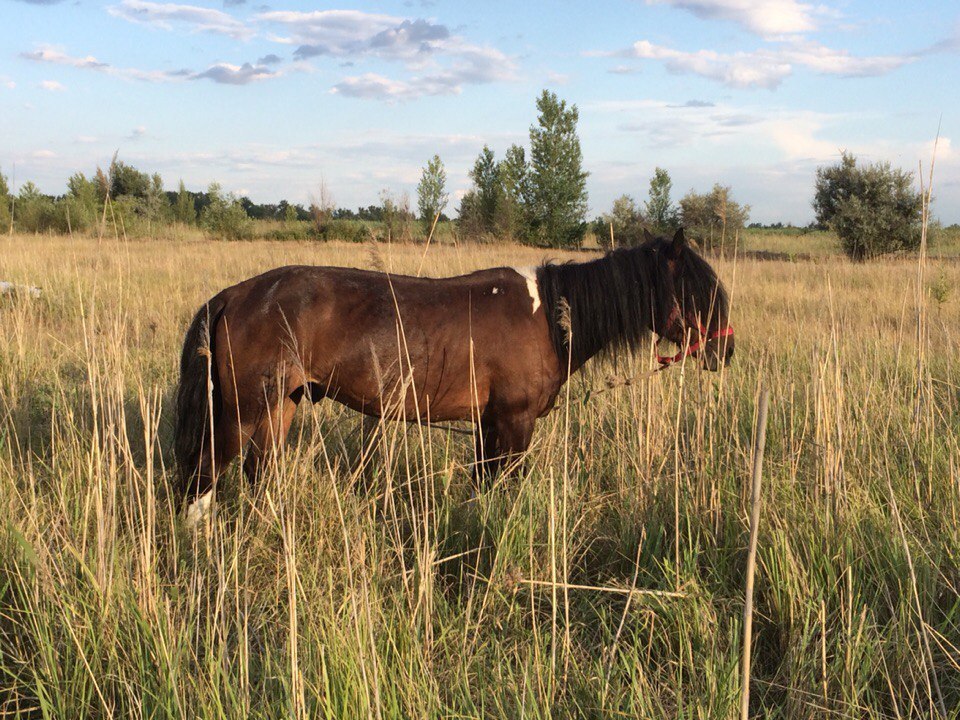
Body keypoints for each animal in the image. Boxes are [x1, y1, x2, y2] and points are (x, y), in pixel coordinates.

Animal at [172, 229, 732, 524]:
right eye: (698, 290)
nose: (724, 350)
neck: (550, 317)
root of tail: (234, 296)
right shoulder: (514, 422)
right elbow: (504, 486)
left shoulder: (489, 424)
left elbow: (484, 484)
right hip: (241, 412)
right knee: (204, 476)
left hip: (279, 406)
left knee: (258, 472)